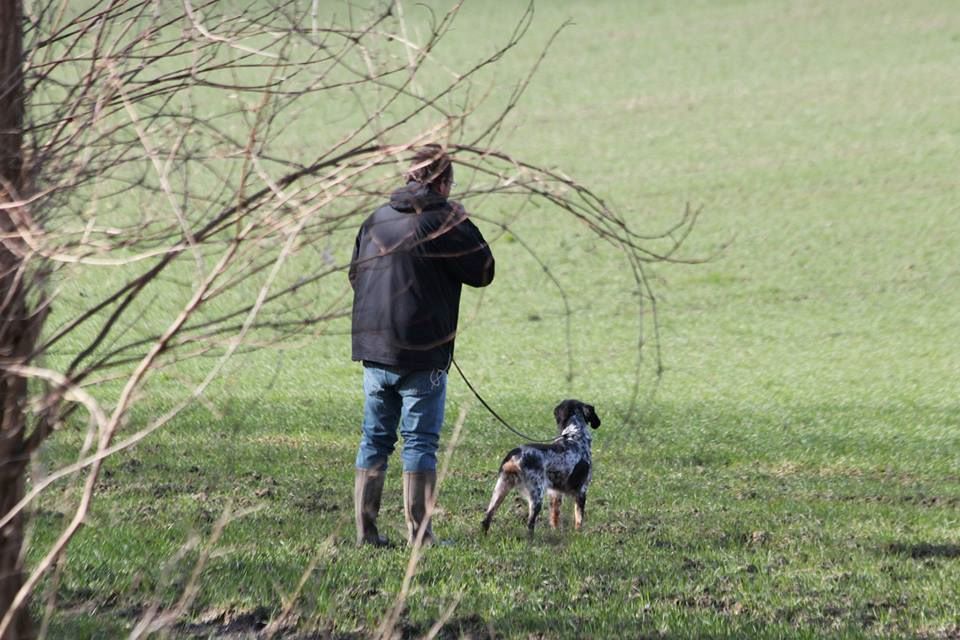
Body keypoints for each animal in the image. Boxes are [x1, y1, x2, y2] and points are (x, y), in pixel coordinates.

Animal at [480, 400, 600, 540]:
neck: (574, 435)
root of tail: (516, 453)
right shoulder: (581, 491)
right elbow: (579, 520)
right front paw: (579, 536)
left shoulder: (555, 493)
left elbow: (554, 518)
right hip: (536, 496)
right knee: (530, 524)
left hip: (501, 489)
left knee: (487, 518)